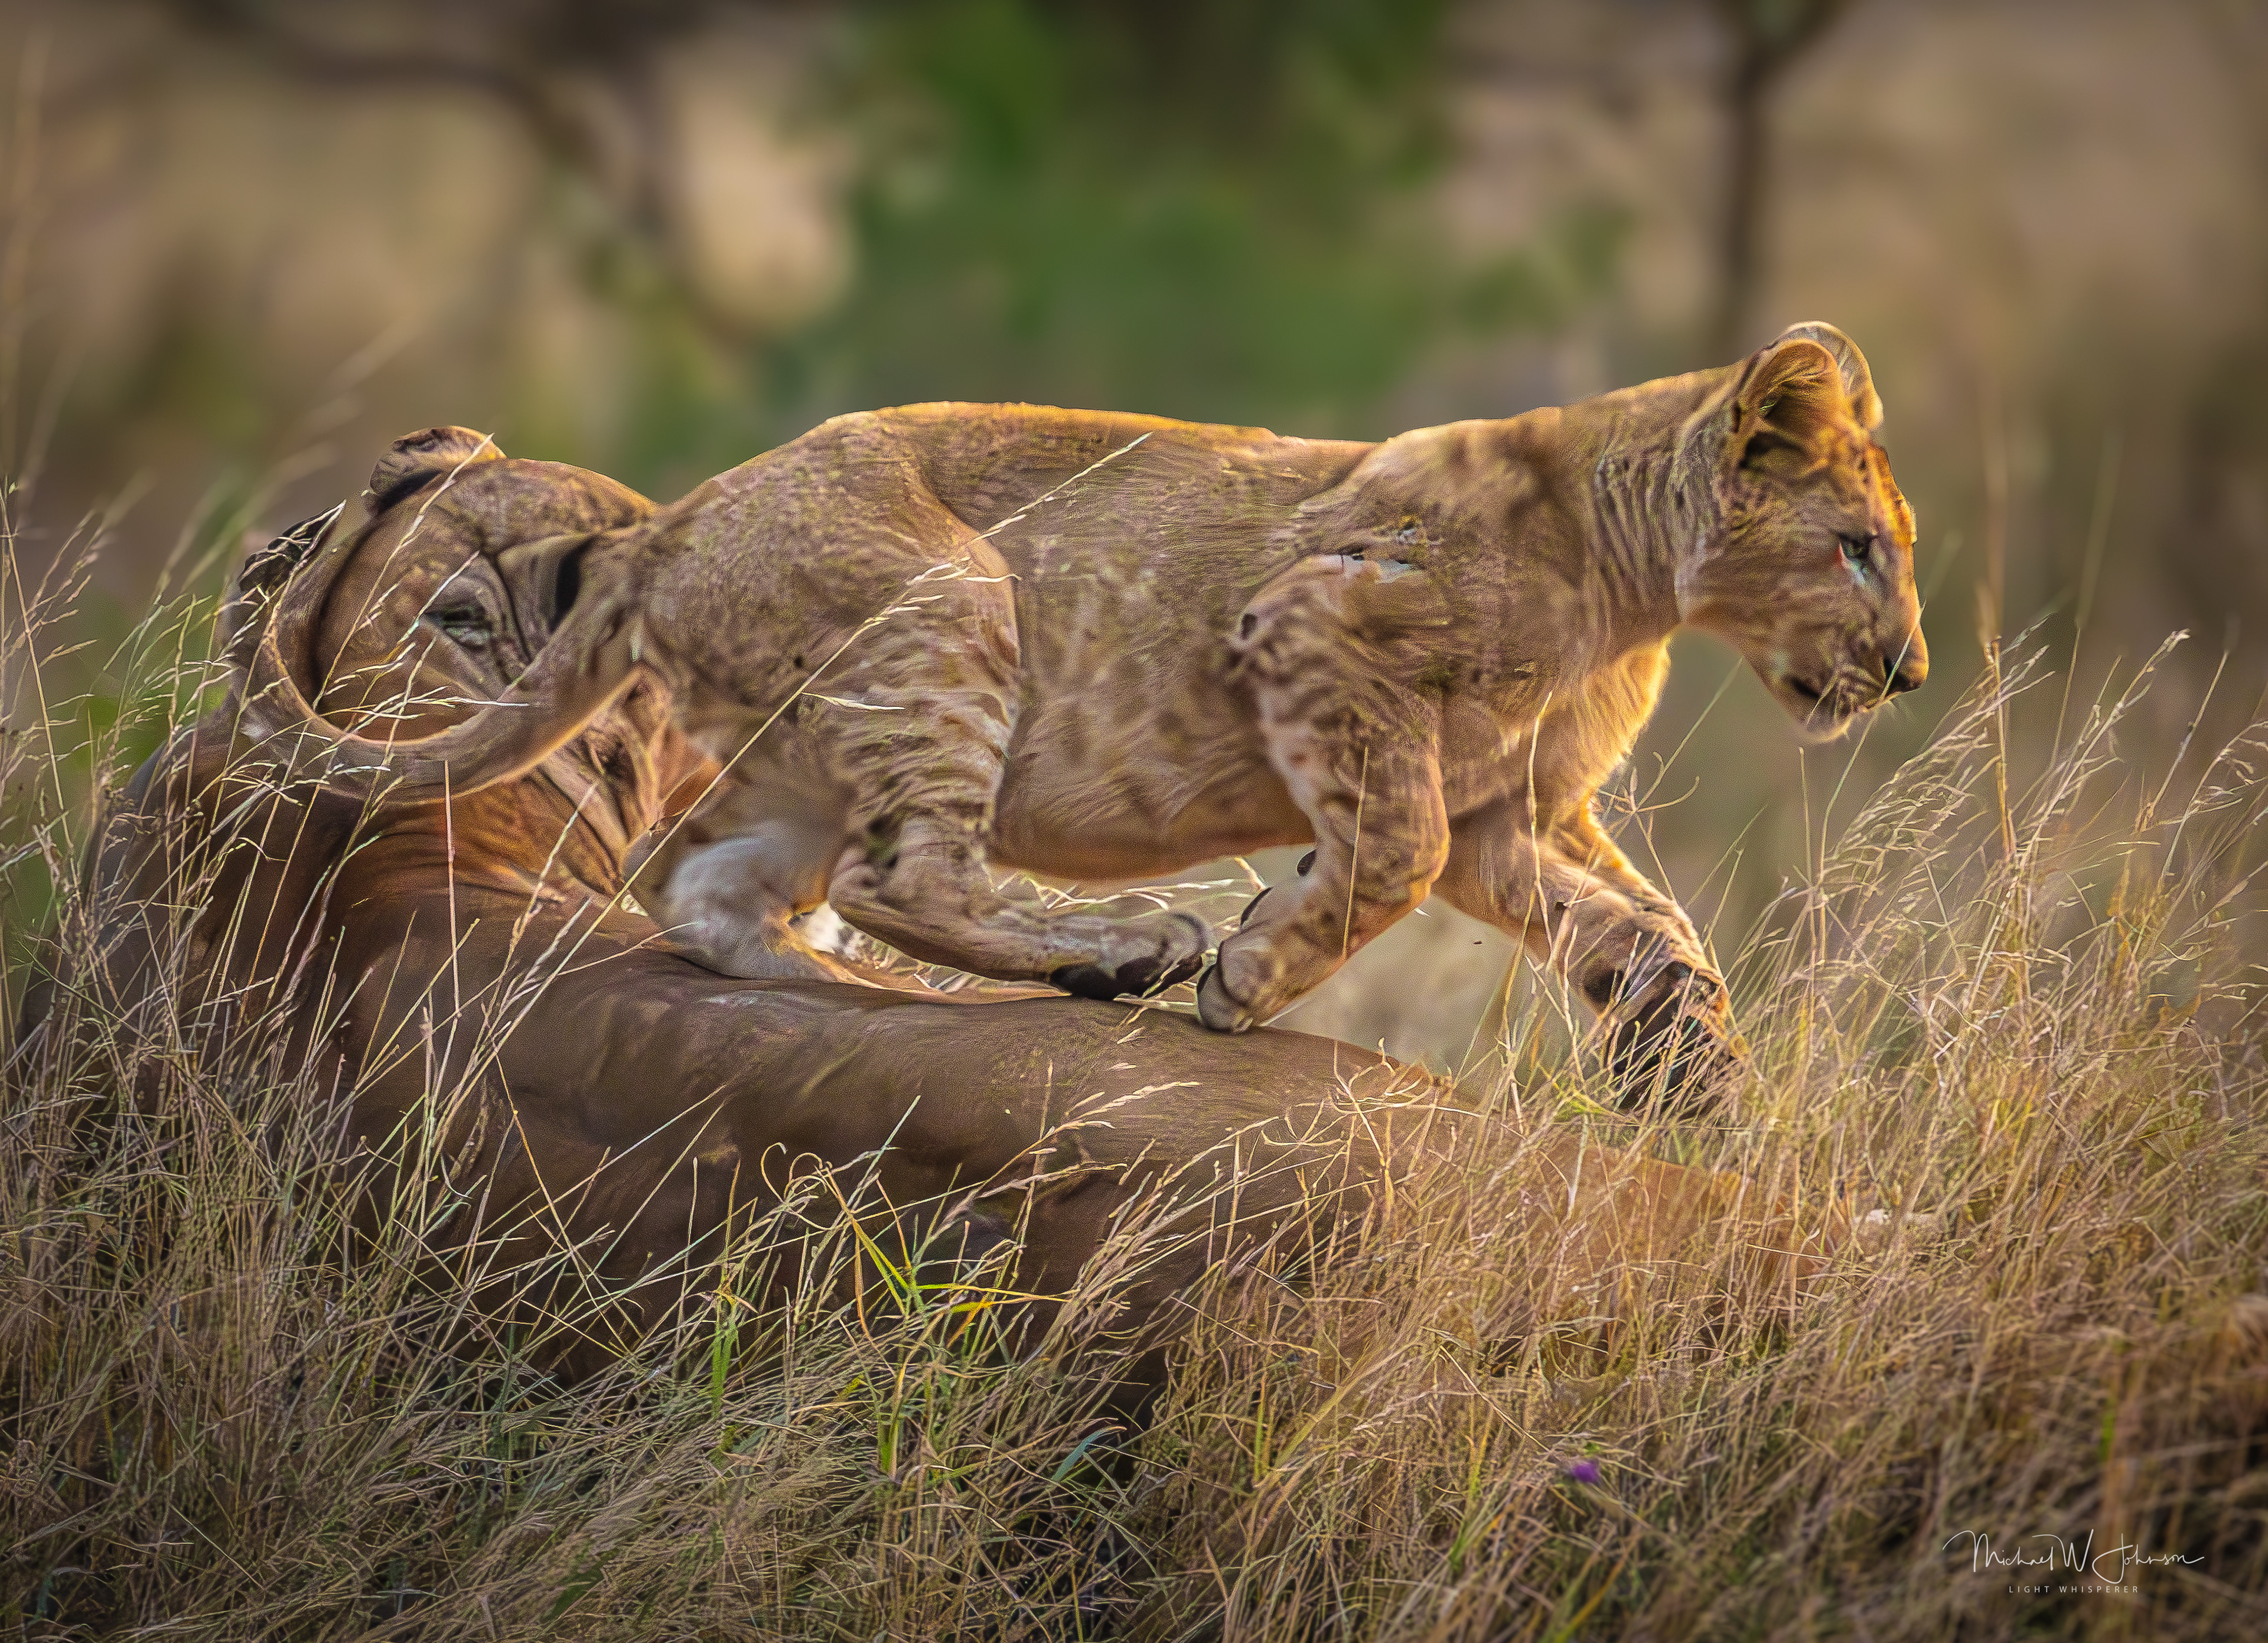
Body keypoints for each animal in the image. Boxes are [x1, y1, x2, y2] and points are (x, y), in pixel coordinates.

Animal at [238, 322, 1924, 1104]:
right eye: (1858, 545)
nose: (1910, 669)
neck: (1636, 583)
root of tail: (665, 527)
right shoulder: (1314, 635)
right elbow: (1385, 855)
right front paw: (1247, 971)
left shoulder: (1514, 812)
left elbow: (1647, 923)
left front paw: (1691, 1065)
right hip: (950, 605)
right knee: (900, 871)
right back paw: (1122, 948)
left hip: (798, 758)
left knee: (721, 901)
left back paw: (910, 992)